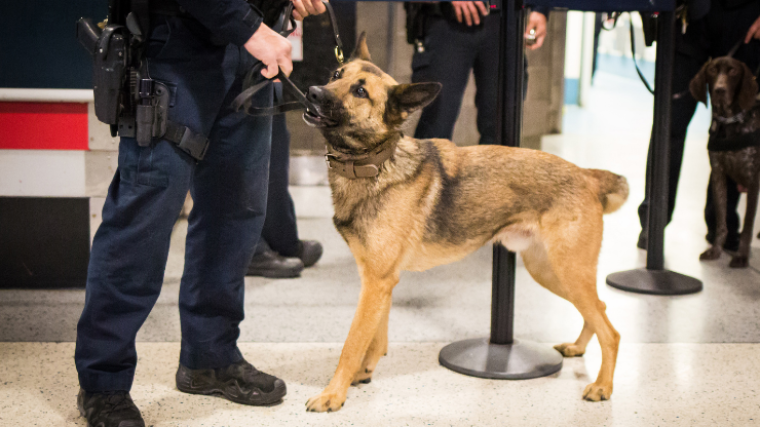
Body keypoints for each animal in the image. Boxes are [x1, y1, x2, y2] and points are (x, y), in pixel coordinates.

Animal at [302, 34, 628, 414]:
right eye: (336, 74)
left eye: (360, 91)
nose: (312, 92)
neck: (376, 163)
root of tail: (587, 175)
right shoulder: (378, 281)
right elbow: (375, 336)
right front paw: (363, 372)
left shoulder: (377, 282)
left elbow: (352, 342)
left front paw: (333, 393)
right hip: (550, 272)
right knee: (600, 309)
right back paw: (579, 349)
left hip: (567, 272)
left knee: (611, 331)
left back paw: (603, 385)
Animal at [688, 56, 760, 268]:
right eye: (712, 70)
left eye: (733, 71)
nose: (719, 89)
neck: (730, 122)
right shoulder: (718, 175)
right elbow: (721, 222)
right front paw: (715, 250)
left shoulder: (753, 180)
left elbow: (747, 226)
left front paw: (742, 257)